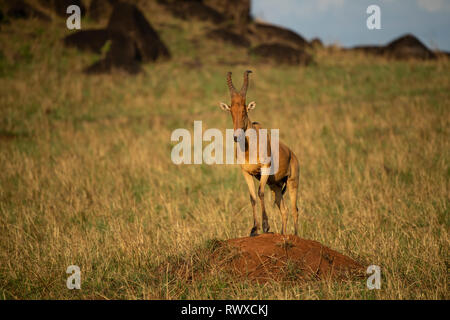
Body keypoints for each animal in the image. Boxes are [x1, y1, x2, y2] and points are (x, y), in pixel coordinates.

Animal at [220, 70, 300, 235]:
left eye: (244, 111)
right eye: (231, 111)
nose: (236, 137)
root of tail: (292, 154)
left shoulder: (265, 168)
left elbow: (260, 192)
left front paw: (265, 226)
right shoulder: (246, 173)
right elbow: (252, 197)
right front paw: (254, 229)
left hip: (292, 182)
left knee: (295, 209)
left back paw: (295, 236)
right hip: (276, 186)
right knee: (284, 210)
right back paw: (283, 234)